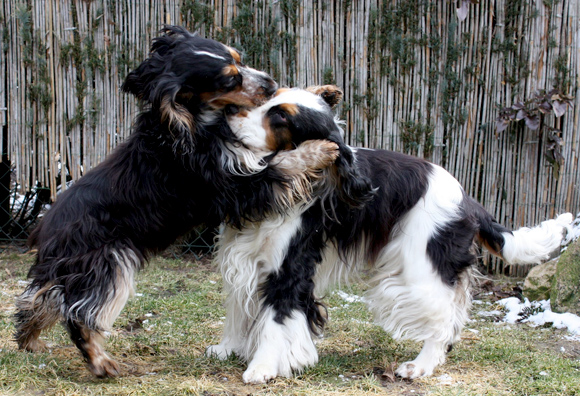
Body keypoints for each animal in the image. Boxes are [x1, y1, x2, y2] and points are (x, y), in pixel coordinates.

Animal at [14, 28, 340, 378]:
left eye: (239, 58)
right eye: (229, 80)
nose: (270, 83)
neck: (190, 124)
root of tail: (45, 231)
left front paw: (323, 92)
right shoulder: (234, 185)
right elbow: (281, 166)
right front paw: (320, 149)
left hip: (70, 269)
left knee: (38, 299)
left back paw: (30, 340)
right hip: (107, 264)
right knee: (77, 315)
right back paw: (100, 363)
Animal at [207, 88, 572, 382]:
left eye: (281, 116)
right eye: (269, 98)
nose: (228, 111)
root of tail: (468, 201)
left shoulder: (288, 268)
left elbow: (275, 320)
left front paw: (262, 368)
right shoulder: (244, 258)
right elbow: (238, 308)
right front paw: (228, 348)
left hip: (419, 271)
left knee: (441, 320)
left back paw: (420, 366)